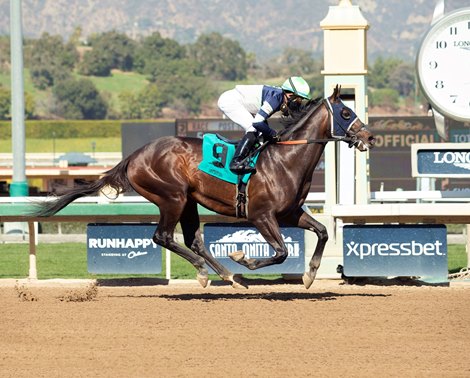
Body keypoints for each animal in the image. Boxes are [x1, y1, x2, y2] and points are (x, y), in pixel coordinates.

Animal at [34, 86, 374, 290]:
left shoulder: (289, 213)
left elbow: (323, 232)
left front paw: (309, 275)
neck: (284, 160)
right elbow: (280, 252)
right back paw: (208, 272)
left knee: (193, 240)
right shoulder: (261, 215)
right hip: (172, 196)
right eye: (346, 113)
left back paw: (228, 276)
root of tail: (134, 155)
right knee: (163, 237)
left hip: (188, 201)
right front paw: (243, 259)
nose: (369, 137)